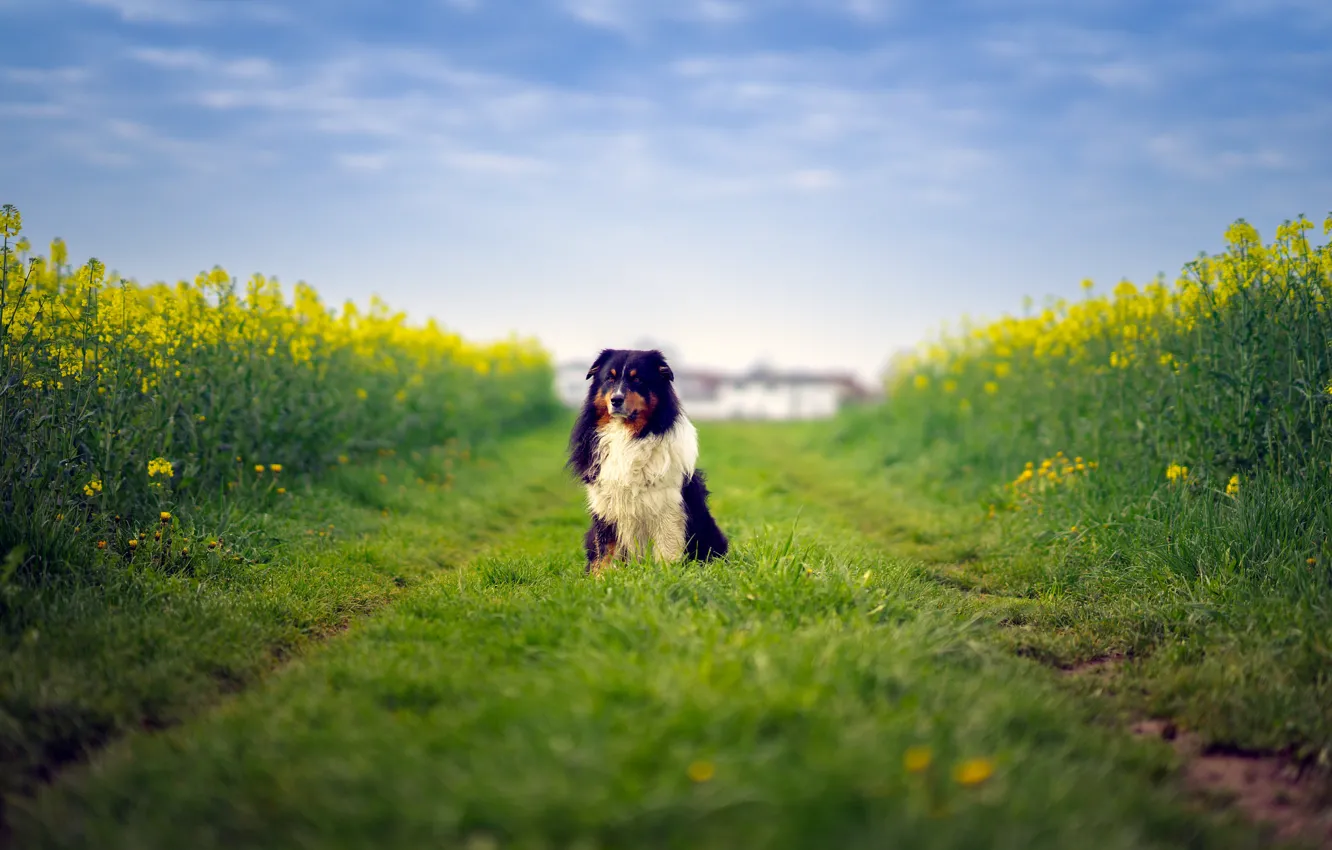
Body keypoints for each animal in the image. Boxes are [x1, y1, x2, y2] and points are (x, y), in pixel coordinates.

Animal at [564, 349, 729, 575]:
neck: (627, 435)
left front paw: (666, 575)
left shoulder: (667, 507)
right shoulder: (605, 508)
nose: (616, 399)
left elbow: (667, 551)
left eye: (638, 379)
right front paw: (601, 579)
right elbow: (604, 552)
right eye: (609, 378)